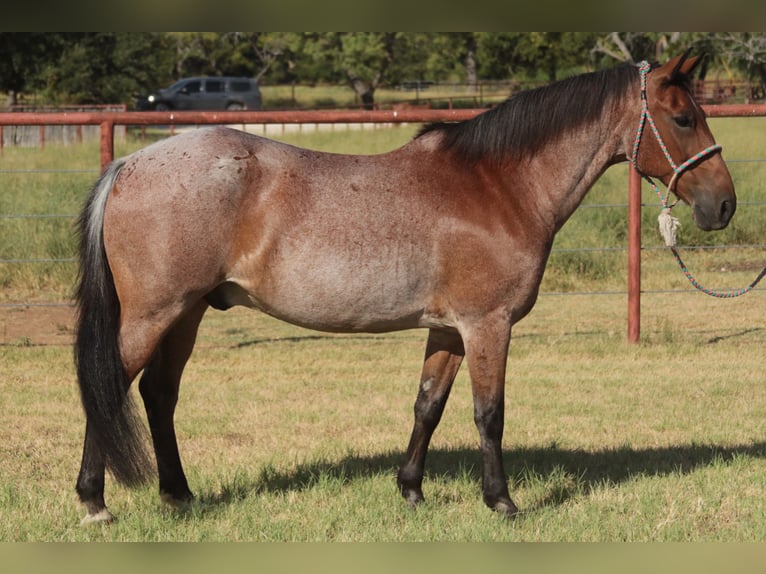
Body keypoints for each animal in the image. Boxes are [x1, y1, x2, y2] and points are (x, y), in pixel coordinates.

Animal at [74, 52, 735, 524]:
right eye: (683, 118)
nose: (723, 206)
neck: (499, 186)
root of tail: (130, 164)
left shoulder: (448, 329)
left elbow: (428, 406)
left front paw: (412, 491)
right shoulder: (487, 324)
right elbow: (489, 413)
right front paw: (502, 502)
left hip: (186, 314)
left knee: (159, 395)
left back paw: (179, 496)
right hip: (153, 314)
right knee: (109, 388)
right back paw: (94, 502)